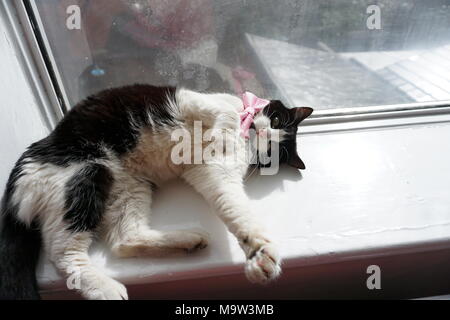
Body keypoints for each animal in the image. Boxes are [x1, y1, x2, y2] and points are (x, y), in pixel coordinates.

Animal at [0, 84, 312, 298]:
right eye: (276, 120)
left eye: (272, 150)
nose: (264, 133)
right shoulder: (190, 99)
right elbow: (222, 112)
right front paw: (223, 127)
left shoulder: (216, 173)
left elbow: (239, 212)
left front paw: (260, 254)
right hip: (85, 174)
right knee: (63, 254)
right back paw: (106, 288)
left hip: (128, 187)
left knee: (122, 240)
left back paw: (188, 241)